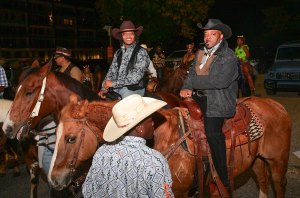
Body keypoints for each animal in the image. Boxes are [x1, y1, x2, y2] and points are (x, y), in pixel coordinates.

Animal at [51, 95, 290, 197]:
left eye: (70, 138)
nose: (54, 179)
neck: (161, 136)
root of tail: (276, 105)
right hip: (257, 161)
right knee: (263, 182)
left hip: (278, 162)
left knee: (278, 187)